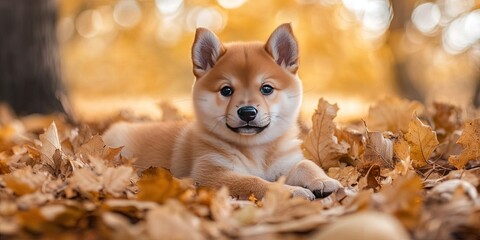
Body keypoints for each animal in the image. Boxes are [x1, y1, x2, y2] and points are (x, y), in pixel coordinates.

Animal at [102, 23, 342, 200]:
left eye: (266, 88)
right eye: (226, 90)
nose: (247, 112)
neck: (256, 151)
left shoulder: (286, 162)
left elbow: (306, 164)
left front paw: (323, 180)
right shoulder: (212, 173)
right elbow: (255, 181)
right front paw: (290, 191)